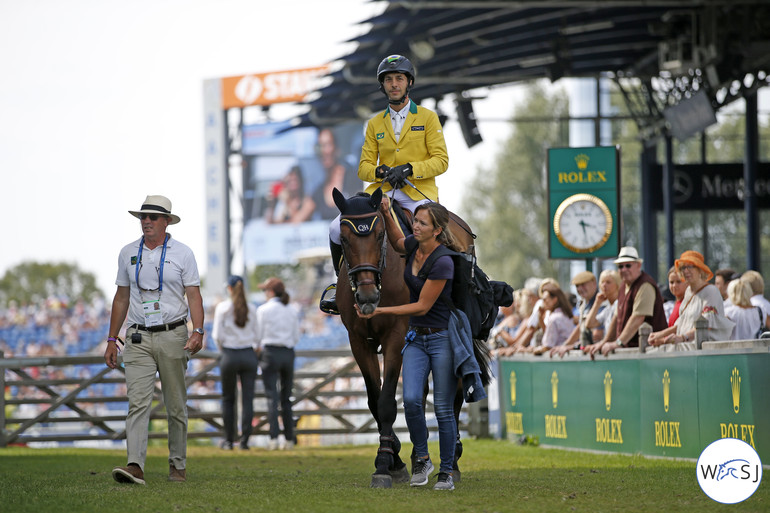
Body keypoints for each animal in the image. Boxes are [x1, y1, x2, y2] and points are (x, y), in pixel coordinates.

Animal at [330, 186, 486, 486]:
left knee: (457, 389)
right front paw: (394, 458)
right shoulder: (358, 341)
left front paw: (384, 463)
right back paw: (418, 456)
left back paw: (453, 459)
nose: (367, 297)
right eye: (342, 239)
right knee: (422, 392)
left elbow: (387, 401)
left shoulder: (397, 337)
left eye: (380, 235)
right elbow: (374, 400)